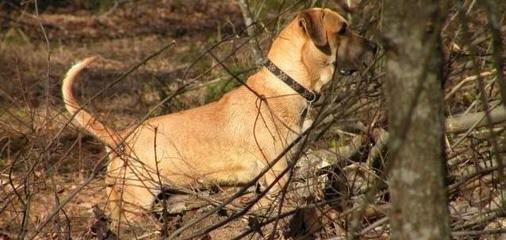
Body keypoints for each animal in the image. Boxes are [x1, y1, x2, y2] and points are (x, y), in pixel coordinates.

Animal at [61, 7, 376, 225]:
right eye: (343, 29)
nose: (374, 46)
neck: (287, 85)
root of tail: (121, 137)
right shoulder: (276, 173)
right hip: (136, 200)